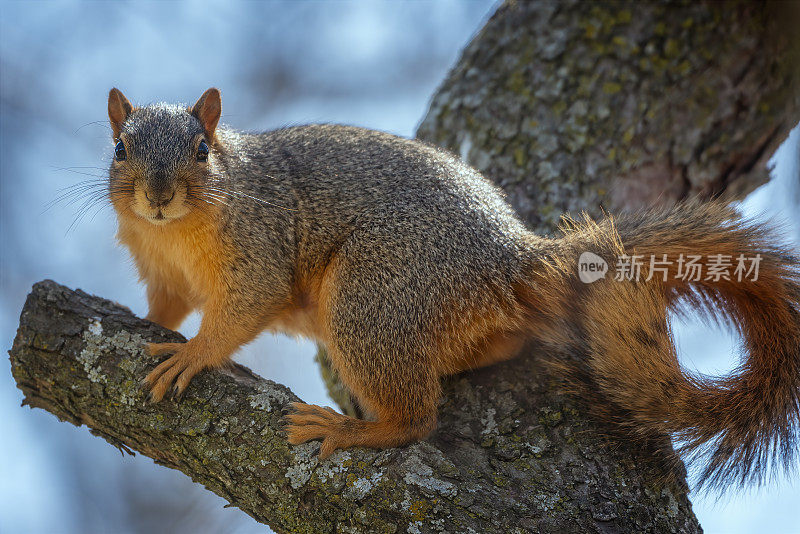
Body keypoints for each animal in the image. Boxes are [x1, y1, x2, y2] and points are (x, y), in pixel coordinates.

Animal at [108, 87, 800, 490]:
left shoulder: (260, 245)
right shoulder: (162, 269)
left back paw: (354, 429)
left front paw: (193, 354)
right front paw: (145, 318)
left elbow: (244, 307)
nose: (159, 194)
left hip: (373, 297)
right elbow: (167, 304)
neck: (174, 233)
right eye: (118, 147)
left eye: (202, 149)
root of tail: (508, 260)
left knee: (416, 420)